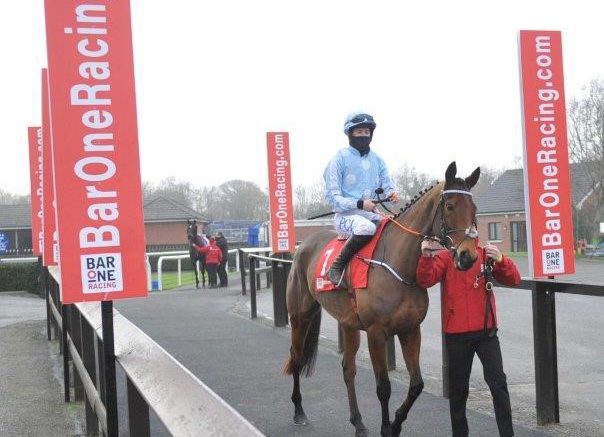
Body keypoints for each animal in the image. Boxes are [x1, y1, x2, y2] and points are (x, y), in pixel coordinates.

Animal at [284, 161, 482, 436]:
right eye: (450, 206)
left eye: (474, 208)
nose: (468, 256)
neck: (399, 265)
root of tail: (303, 244)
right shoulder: (376, 333)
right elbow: (383, 387)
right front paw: (387, 427)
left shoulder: (410, 330)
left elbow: (417, 384)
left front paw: (396, 423)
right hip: (300, 315)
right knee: (297, 356)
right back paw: (298, 411)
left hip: (347, 323)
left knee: (348, 369)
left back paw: (358, 423)